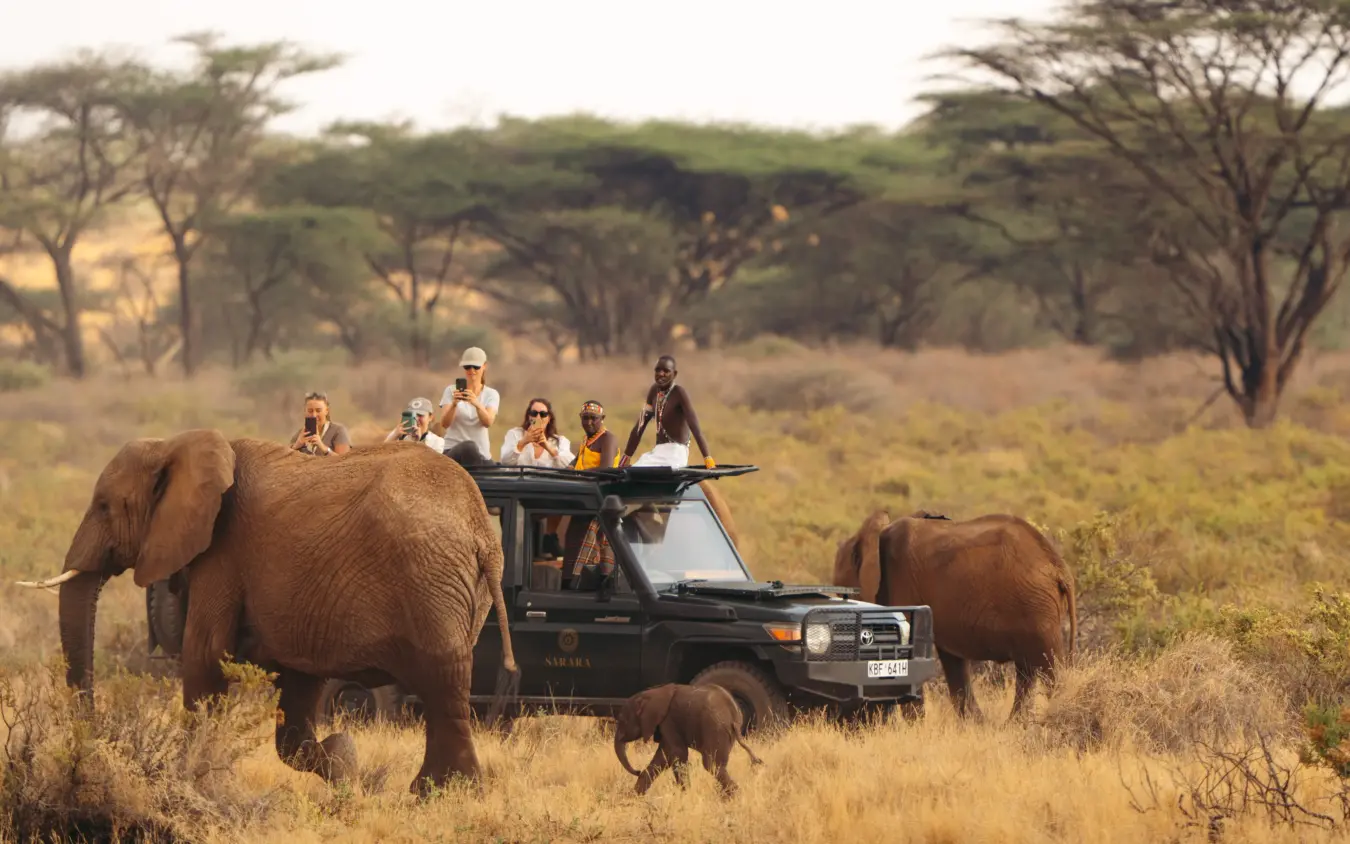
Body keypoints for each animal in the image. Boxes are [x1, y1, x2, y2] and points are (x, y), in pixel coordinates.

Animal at [14, 429, 519, 796]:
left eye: (104, 507)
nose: (92, 735)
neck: (175, 444)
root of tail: (481, 532)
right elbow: (296, 697)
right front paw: (344, 762)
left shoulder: (222, 553)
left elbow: (204, 657)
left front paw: (187, 783)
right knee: (444, 687)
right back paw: (434, 792)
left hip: (431, 582)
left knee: (442, 682)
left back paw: (444, 794)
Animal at [613, 682, 764, 797]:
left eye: (622, 720)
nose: (637, 771)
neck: (650, 694)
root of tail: (734, 715)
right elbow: (663, 757)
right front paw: (634, 796)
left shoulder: (668, 721)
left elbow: (676, 754)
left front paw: (685, 794)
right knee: (718, 765)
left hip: (715, 727)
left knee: (711, 764)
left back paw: (734, 797)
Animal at [832, 509, 1077, 721]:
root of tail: (1061, 568)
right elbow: (953, 662)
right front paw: (975, 725)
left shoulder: (902, 589)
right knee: (1027, 671)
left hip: (1036, 609)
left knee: (1048, 668)